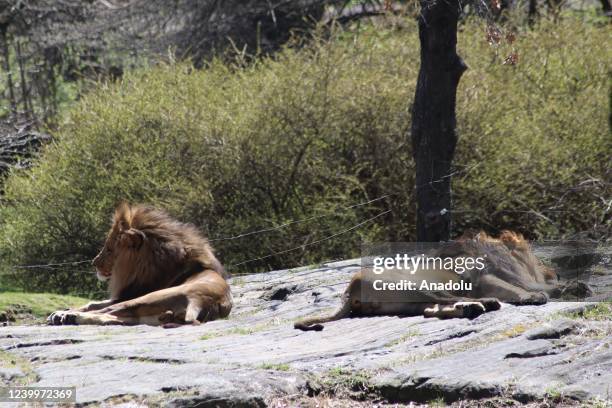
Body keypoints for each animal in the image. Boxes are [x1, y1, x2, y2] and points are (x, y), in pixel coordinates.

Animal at [47, 204, 232, 328]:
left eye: (109, 249)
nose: (94, 263)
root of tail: (202, 301)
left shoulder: (129, 295)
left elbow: (96, 305)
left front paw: (64, 311)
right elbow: (93, 303)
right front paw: (66, 309)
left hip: (147, 298)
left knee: (108, 312)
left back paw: (66, 316)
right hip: (145, 315)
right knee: (114, 319)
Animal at [294, 230, 592, 332]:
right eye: (539, 261)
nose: (554, 271)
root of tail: (350, 287)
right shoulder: (486, 277)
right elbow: (520, 288)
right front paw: (540, 294)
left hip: (409, 301)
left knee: (431, 310)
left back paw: (472, 309)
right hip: (417, 284)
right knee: (445, 300)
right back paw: (484, 304)